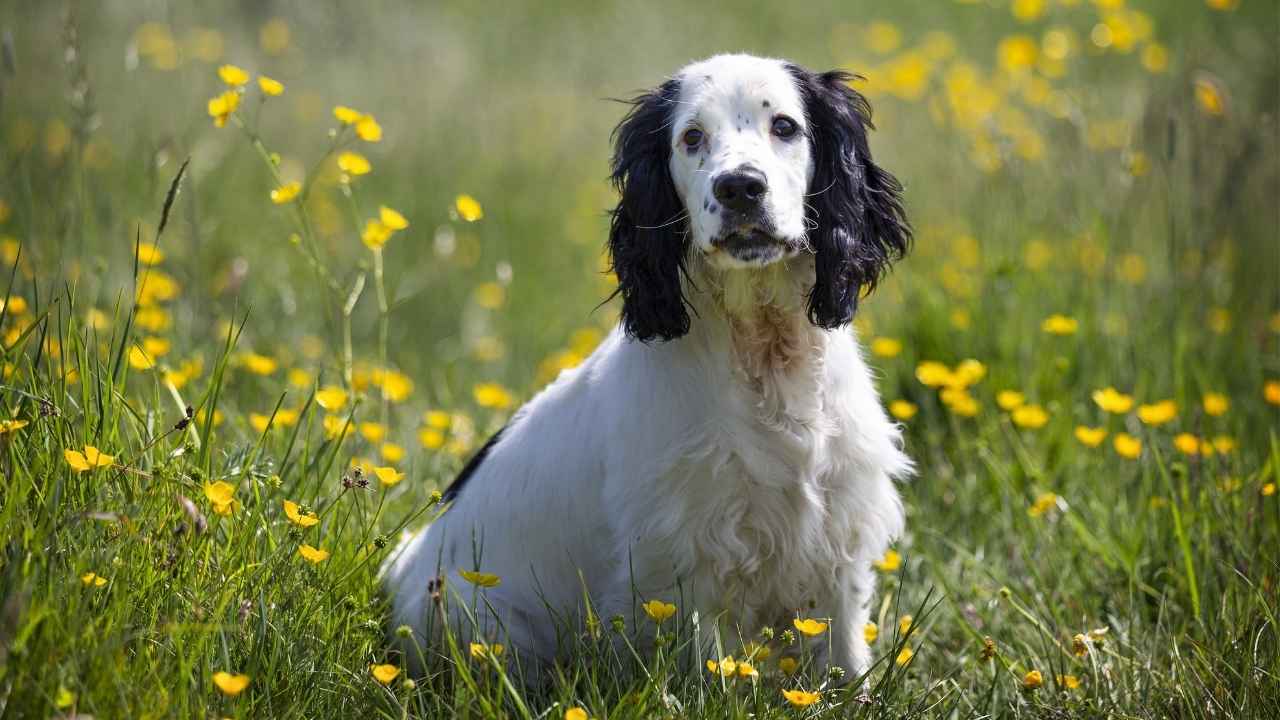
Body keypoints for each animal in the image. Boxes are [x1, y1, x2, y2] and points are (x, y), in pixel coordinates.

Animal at [378, 53, 911, 676]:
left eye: (784, 126)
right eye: (691, 137)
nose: (740, 187)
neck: (762, 352)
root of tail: (401, 576)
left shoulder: (837, 532)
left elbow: (844, 657)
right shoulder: (682, 553)